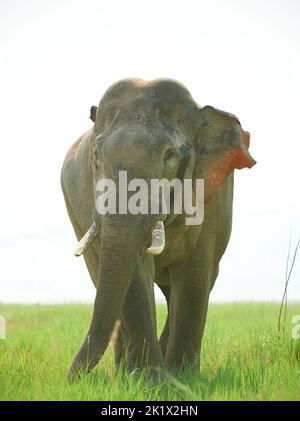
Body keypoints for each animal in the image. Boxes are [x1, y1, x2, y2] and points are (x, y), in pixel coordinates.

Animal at [61, 77, 255, 378]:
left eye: (169, 156)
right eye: (96, 155)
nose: (71, 379)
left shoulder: (210, 197)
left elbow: (194, 275)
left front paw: (181, 379)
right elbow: (136, 272)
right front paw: (148, 381)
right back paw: (124, 372)